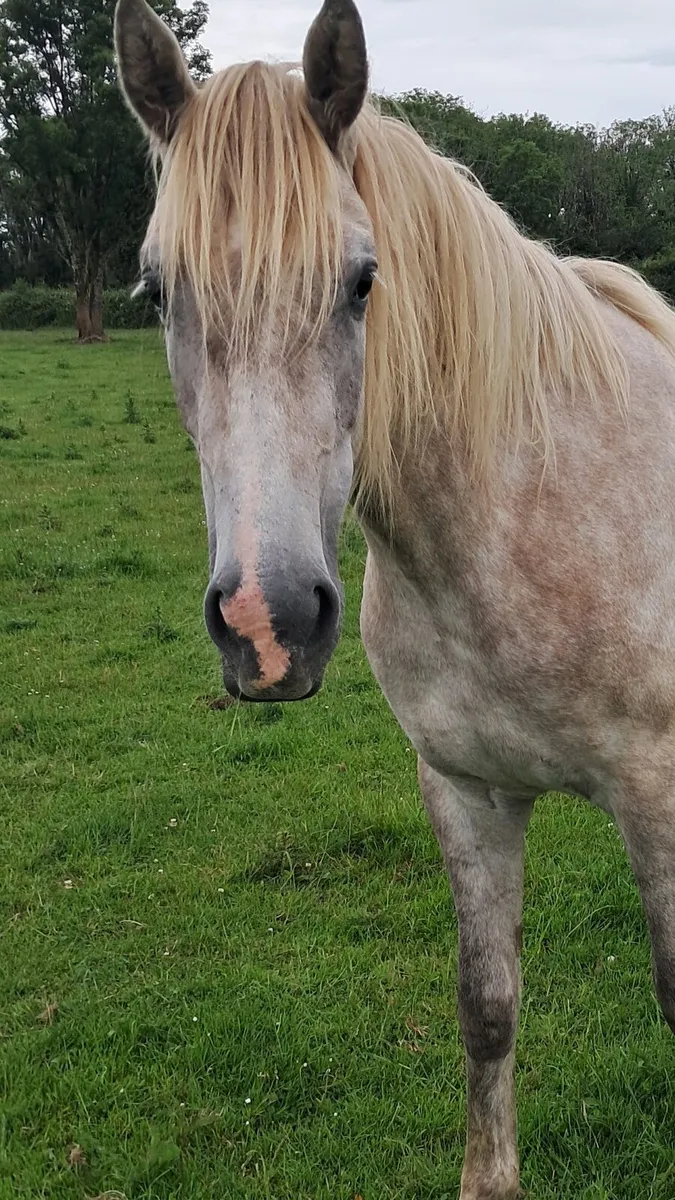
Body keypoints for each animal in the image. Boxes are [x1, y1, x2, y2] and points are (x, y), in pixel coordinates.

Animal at [114, 1, 675, 1195]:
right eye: (157, 292)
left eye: (362, 281)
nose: (269, 625)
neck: (518, 514)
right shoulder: (464, 791)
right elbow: (487, 1009)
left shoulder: (658, 799)